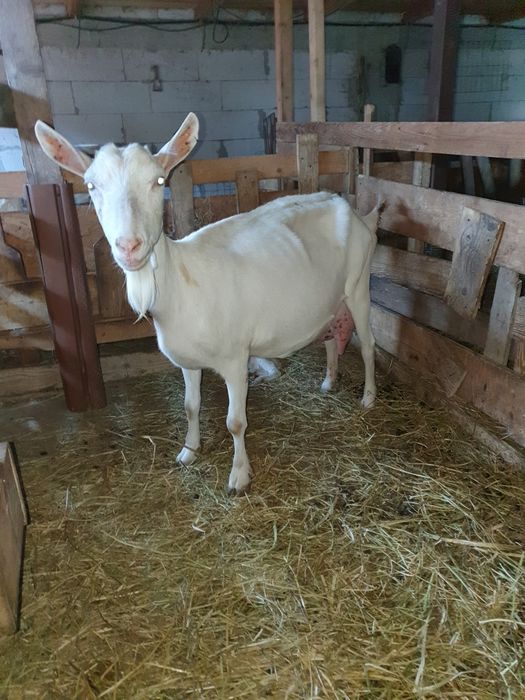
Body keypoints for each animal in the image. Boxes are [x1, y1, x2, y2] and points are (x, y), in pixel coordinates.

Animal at [35, 113, 379, 495]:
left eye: (159, 181)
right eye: (91, 186)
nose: (129, 246)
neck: (181, 288)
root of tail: (351, 208)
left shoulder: (235, 357)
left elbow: (236, 422)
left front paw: (239, 476)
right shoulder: (186, 359)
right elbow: (190, 406)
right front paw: (189, 451)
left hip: (359, 285)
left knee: (368, 344)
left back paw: (368, 398)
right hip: (331, 300)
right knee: (332, 336)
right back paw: (329, 382)